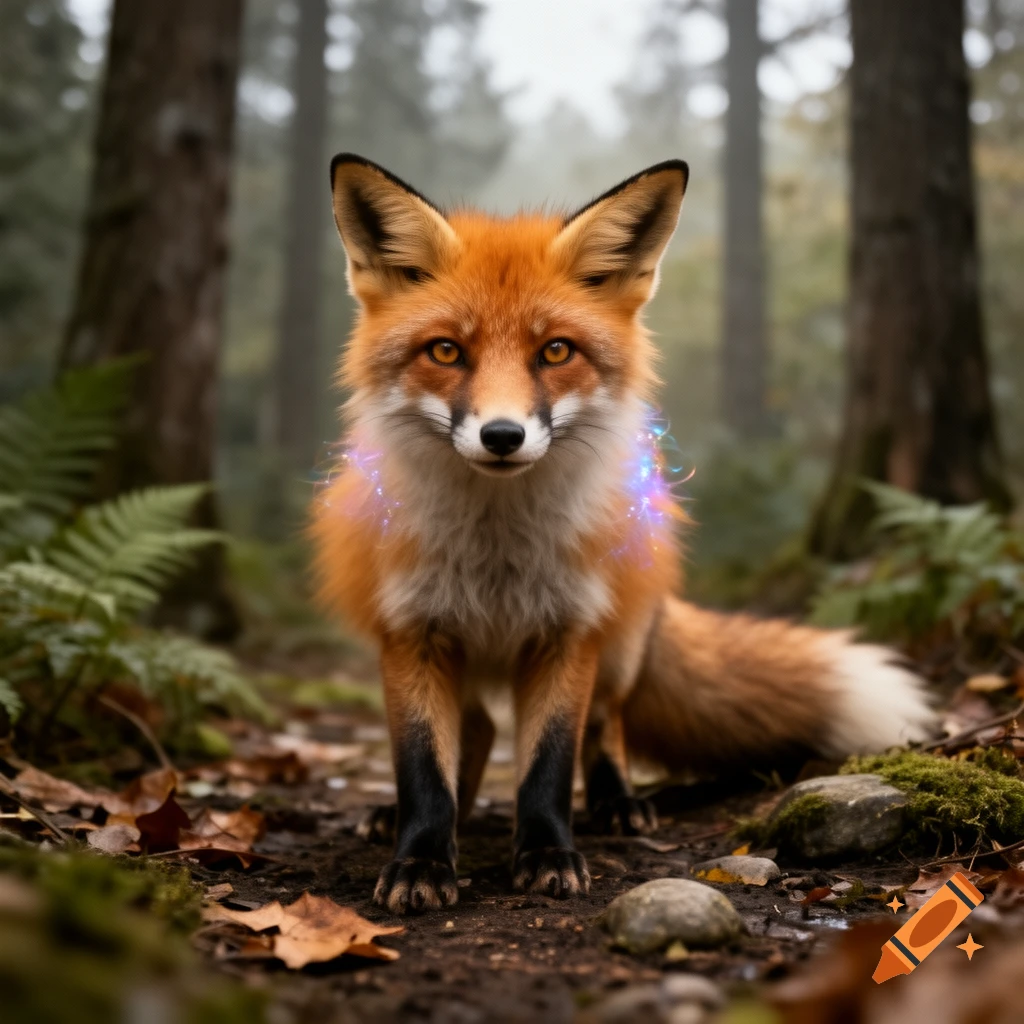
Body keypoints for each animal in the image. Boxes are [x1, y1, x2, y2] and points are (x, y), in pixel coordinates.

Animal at [311, 153, 935, 915]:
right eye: (446, 351)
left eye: (555, 351)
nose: (502, 436)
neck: (497, 551)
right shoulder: (411, 633)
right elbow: (423, 767)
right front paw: (423, 858)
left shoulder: (570, 629)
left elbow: (549, 763)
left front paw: (548, 853)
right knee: (480, 729)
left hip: (623, 642)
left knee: (604, 724)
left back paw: (617, 801)